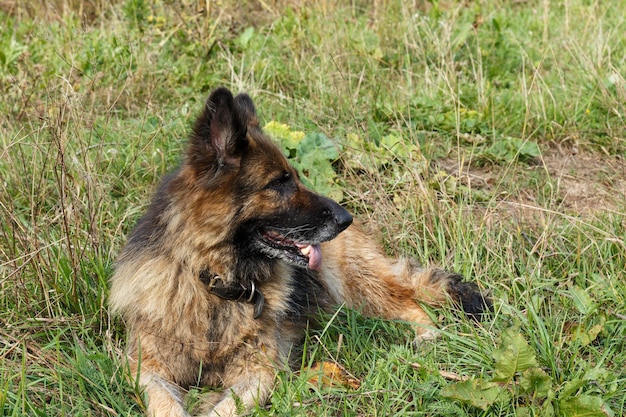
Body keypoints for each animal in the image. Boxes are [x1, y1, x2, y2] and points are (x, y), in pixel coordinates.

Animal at [109, 86, 490, 414]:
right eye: (279, 183)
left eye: (294, 176)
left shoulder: (259, 372)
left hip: (354, 286)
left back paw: (428, 337)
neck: (215, 284)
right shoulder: (148, 369)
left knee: (409, 302)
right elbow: (167, 406)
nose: (345, 218)